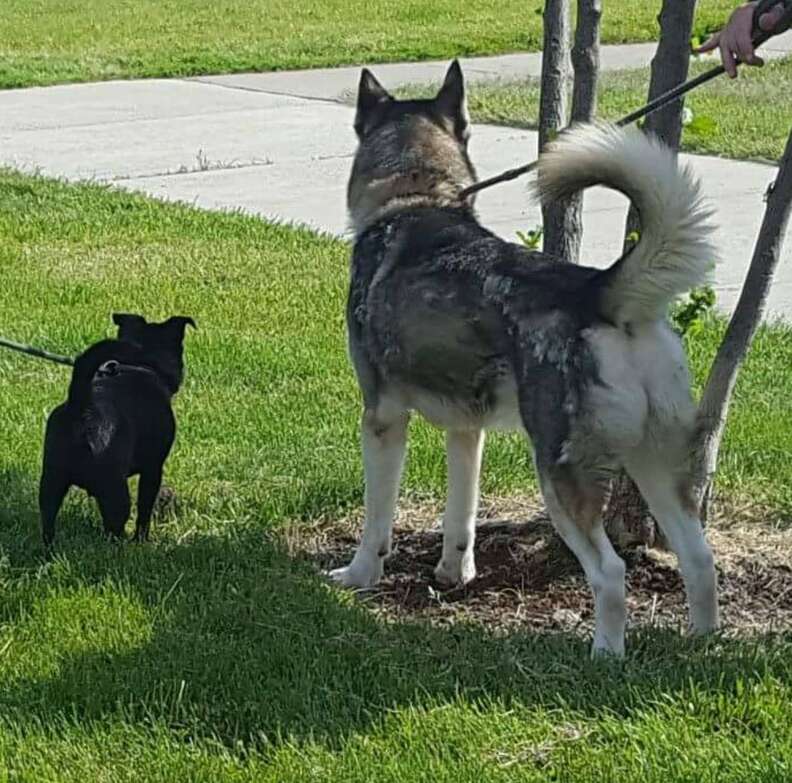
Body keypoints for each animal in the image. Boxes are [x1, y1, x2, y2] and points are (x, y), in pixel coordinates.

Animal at [39, 316, 196, 548]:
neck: (141, 366)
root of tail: (82, 407)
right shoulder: (153, 468)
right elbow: (145, 509)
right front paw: (141, 539)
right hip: (114, 489)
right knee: (114, 527)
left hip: (51, 480)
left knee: (48, 521)